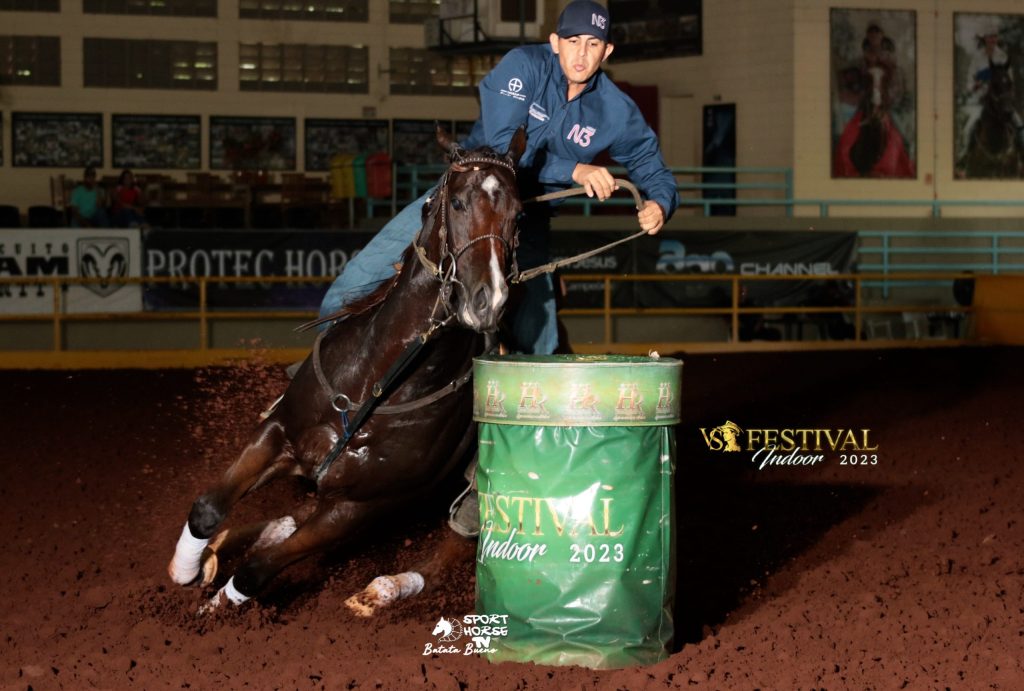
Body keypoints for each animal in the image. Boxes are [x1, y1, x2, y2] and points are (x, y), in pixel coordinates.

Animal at [165, 126, 528, 614]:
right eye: (455, 202)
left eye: (518, 213)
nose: (488, 299)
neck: (378, 385)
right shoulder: (278, 433)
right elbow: (208, 510)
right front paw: (188, 571)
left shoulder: (355, 507)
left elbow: (257, 570)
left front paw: (211, 610)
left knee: (449, 557)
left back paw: (385, 589)